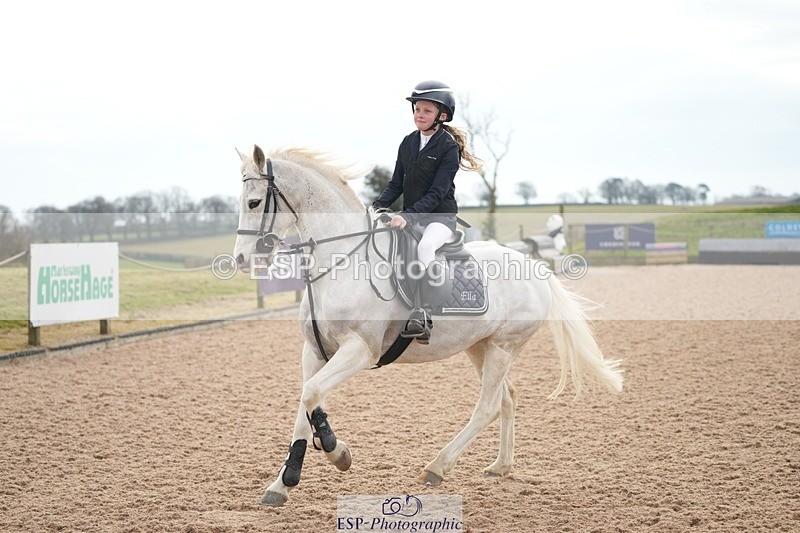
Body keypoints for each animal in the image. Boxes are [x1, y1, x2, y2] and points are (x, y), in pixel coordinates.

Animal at [232, 145, 623, 507]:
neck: (342, 261)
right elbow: (306, 403)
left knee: (488, 407)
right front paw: (282, 483)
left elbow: (312, 394)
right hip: (480, 347)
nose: (241, 259)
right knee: (507, 398)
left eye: (254, 202)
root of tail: (533, 266)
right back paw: (501, 466)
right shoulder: (314, 351)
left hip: (504, 346)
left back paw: (436, 467)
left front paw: (335, 450)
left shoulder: (360, 350)